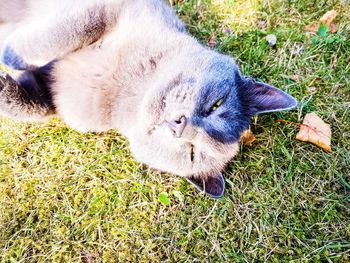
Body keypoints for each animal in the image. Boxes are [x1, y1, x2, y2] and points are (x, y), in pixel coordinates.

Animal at [0, 0, 298, 198]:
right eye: (215, 105)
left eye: (192, 152)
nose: (179, 126)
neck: (127, 89)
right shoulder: (107, 8)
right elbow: (68, 31)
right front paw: (9, 54)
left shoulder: (55, 97)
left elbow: (33, 105)